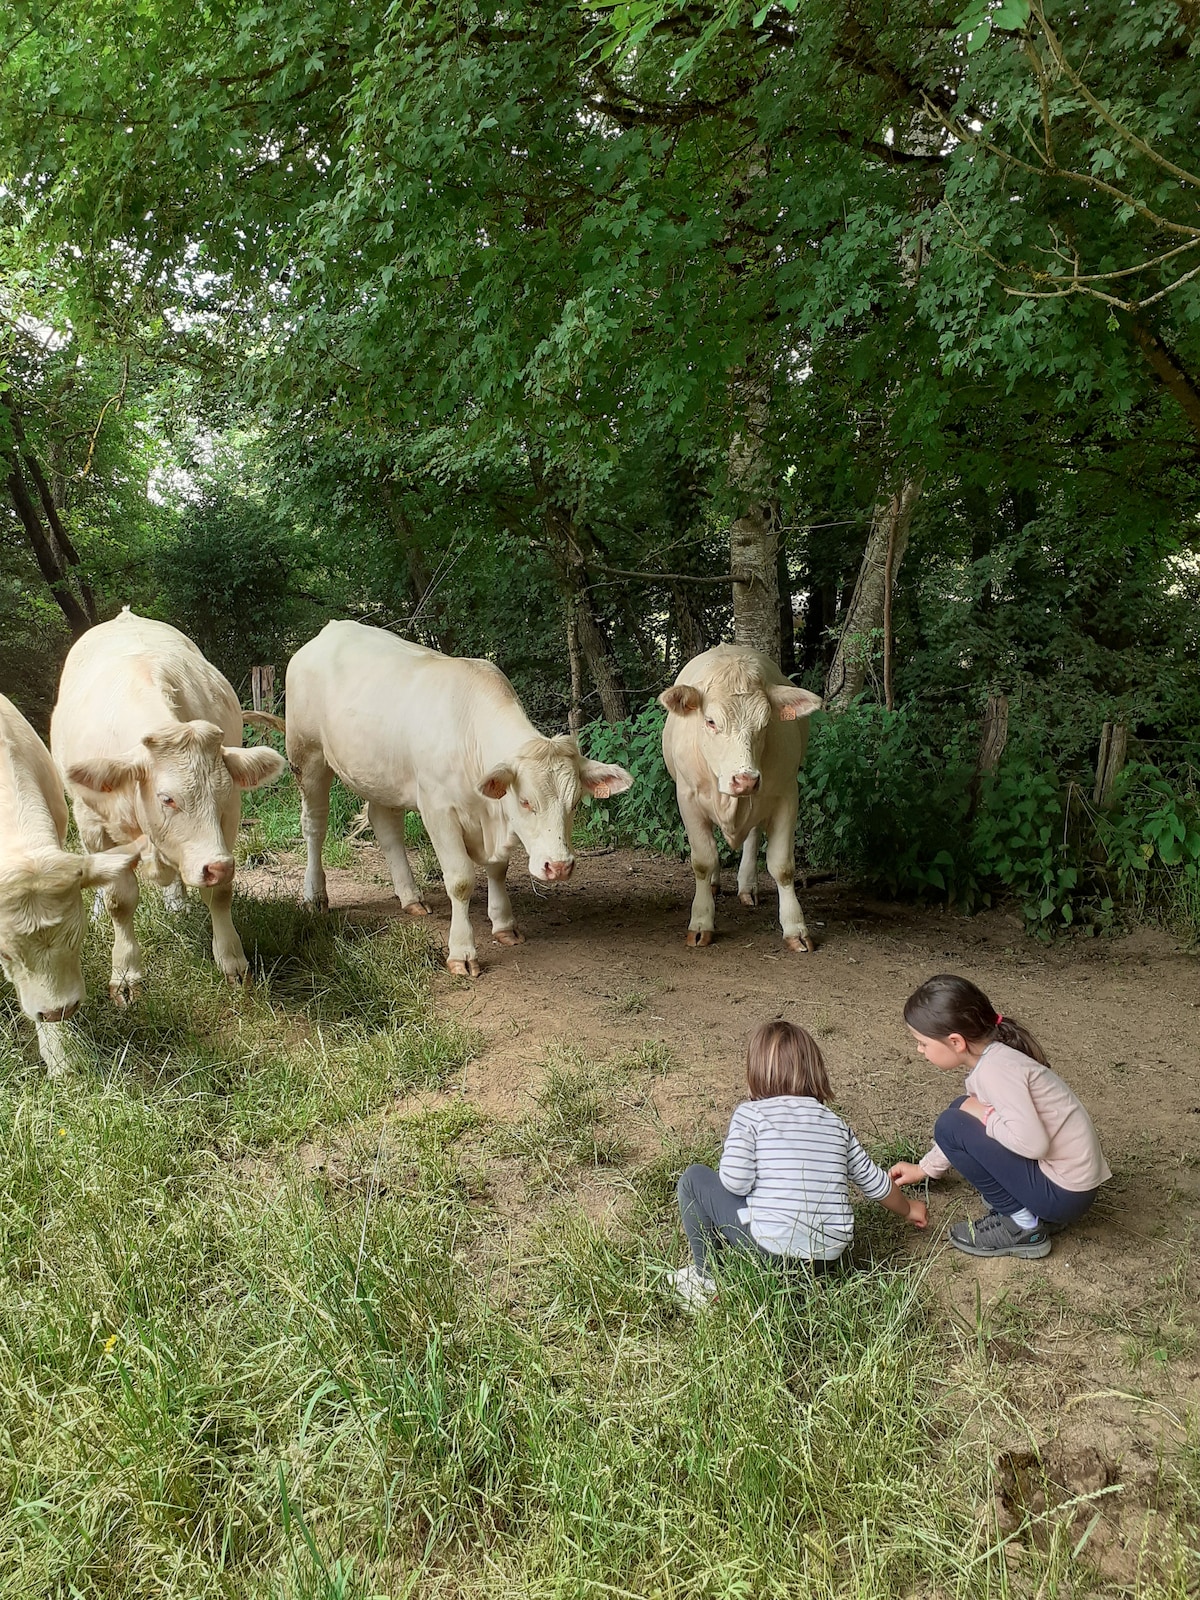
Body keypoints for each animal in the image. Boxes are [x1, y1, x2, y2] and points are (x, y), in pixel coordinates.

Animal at [50, 609, 286, 1002]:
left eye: (223, 795)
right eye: (167, 798)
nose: (218, 866)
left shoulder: (226, 827)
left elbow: (219, 894)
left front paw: (232, 962)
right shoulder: (95, 827)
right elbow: (119, 900)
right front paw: (125, 975)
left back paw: (177, 904)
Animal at [285, 620, 634, 976]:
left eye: (575, 803)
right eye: (525, 802)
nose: (559, 866)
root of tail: (331, 629)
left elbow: (498, 869)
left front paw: (504, 924)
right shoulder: (438, 811)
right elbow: (461, 880)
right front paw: (462, 952)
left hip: (381, 775)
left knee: (386, 827)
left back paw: (411, 897)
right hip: (306, 755)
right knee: (315, 826)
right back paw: (315, 896)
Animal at [660, 644, 823, 952]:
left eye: (766, 723)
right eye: (710, 721)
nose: (745, 779)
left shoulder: (786, 794)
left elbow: (782, 866)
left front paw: (795, 927)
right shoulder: (687, 798)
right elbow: (703, 860)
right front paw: (701, 921)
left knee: (753, 836)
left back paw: (747, 885)